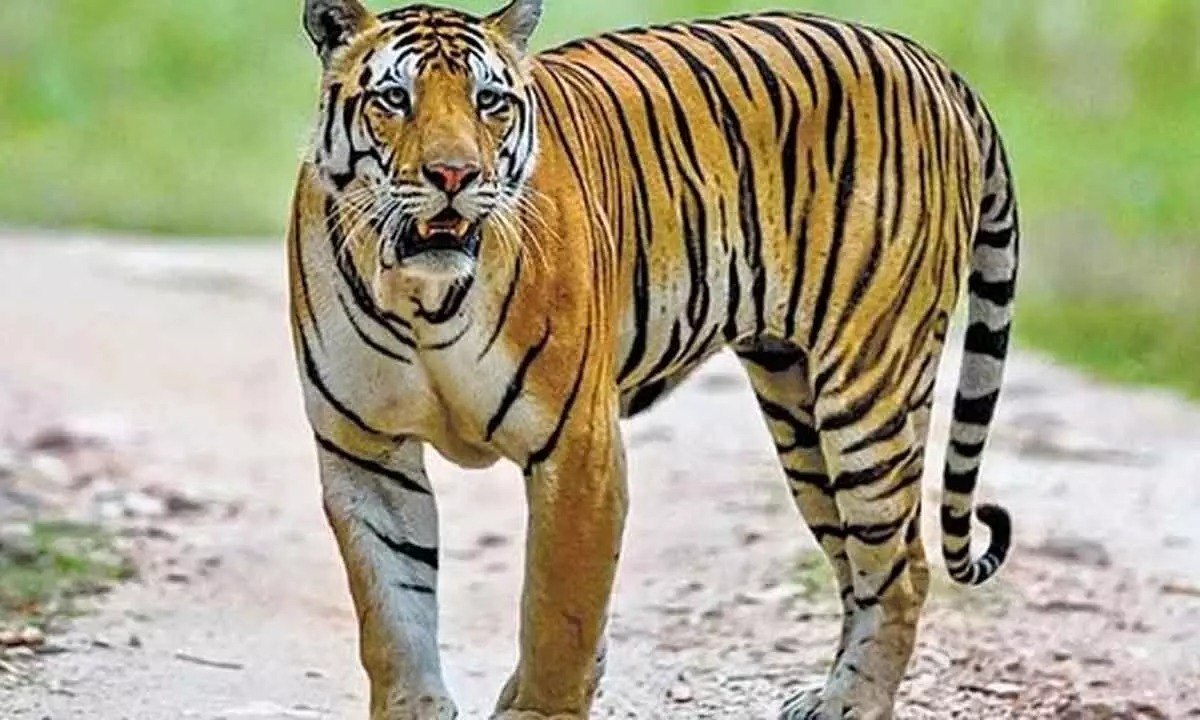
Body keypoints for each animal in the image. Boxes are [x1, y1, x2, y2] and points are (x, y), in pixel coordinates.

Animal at [287, 0, 1020, 718]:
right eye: (395, 98)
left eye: (488, 100)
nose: (453, 175)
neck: (420, 296)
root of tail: (926, 59)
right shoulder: (366, 451)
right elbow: (394, 614)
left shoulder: (576, 446)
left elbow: (559, 613)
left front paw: (539, 705)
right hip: (799, 410)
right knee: (855, 562)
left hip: (867, 388)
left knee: (902, 568)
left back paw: (851, 702)